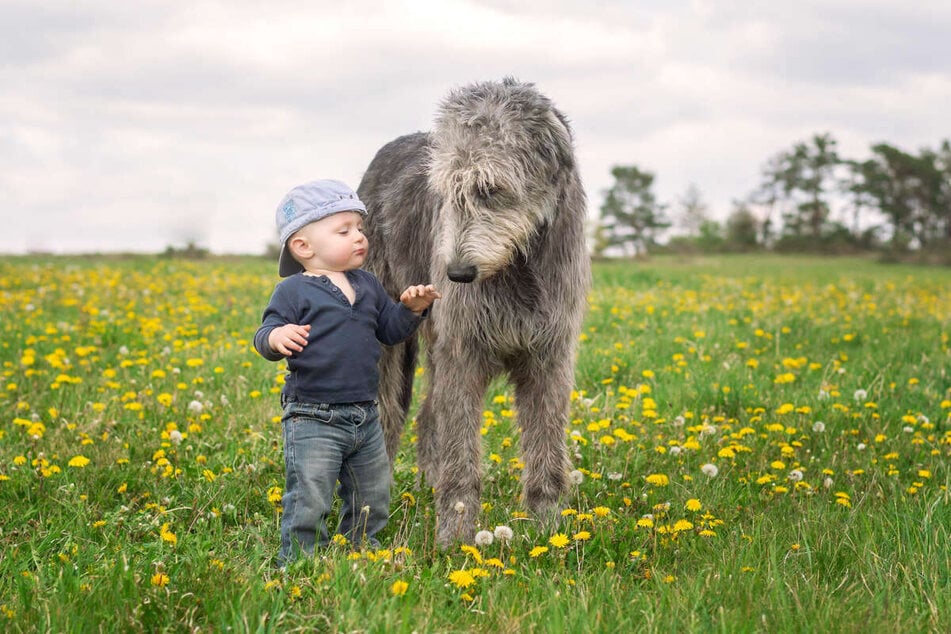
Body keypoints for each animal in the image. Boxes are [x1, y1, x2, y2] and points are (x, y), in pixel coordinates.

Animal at [360, 78, 592, 544]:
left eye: (490, 188)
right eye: (447, 191)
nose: (457, 274)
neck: (518, 265)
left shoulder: (550, 353)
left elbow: (546, 442)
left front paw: (548, 528)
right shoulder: (463, 351)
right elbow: (460, 450)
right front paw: (456, 537)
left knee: (428, 415)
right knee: (389, 412)